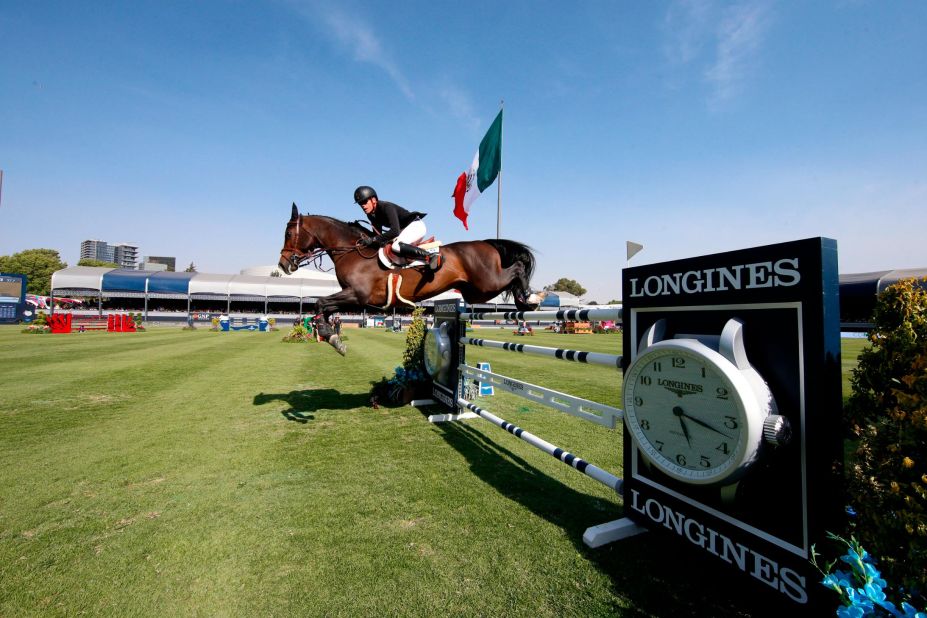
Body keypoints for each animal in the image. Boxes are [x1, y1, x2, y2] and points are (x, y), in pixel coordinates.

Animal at [278, 205, 544, 354]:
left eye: (289, 233)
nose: (283, 264)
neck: (352, 251)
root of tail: (486, 243)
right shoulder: (352, 297)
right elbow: (322, 307)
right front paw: (330, 336)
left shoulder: (357, 296)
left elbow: (320, 303)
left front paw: (331, 337)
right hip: (475, 291)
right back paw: (525, 301)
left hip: (486, 284)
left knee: (517, 268)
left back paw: (531, 299)